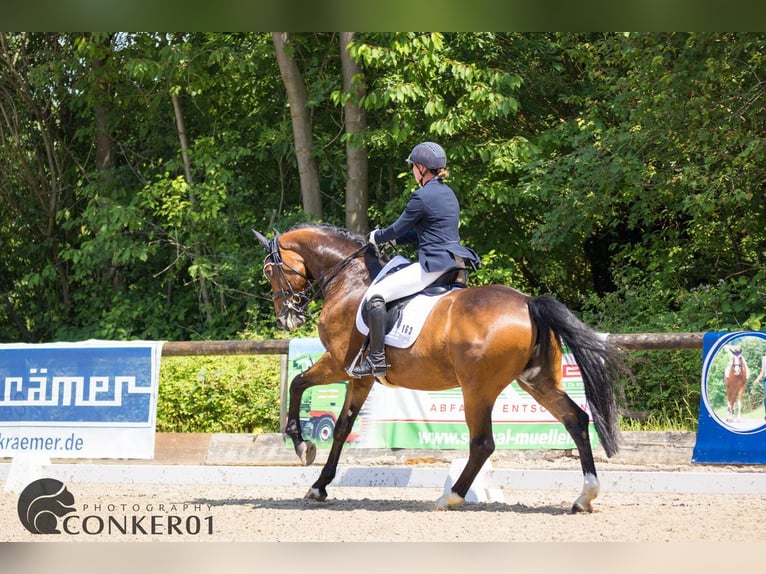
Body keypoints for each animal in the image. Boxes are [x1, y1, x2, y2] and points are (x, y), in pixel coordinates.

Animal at [255, 223, 628, 516]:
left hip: (477, 387)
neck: (350, 280)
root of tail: (527, 301)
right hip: (537, 381)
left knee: (483, 443)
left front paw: (302, 447)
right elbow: (343, 427)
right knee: (576, 420)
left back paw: (450, 497)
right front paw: (319, 485)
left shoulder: (339, 363)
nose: (287, 319)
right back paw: (584, 496)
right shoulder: (361, 377)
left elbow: (298, 384)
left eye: (269, 271)